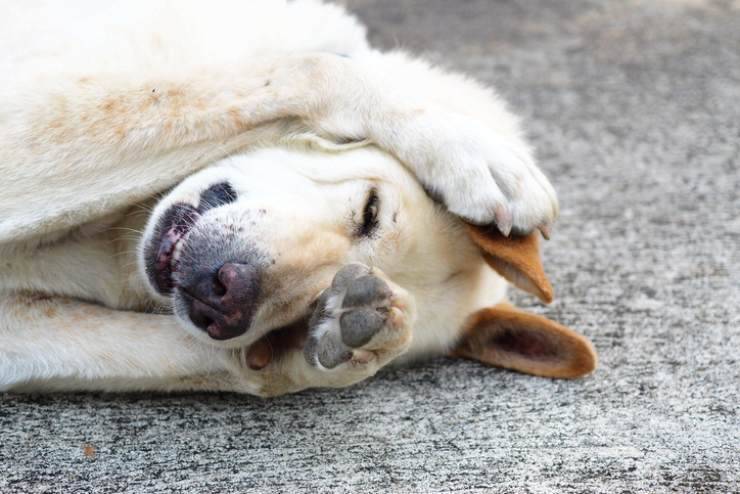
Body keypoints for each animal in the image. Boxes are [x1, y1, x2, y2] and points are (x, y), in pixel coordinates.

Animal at [0, 0, 592, 394]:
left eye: (314, 306)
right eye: (370, 212)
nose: (222, 297)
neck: (115, 241)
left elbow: (232, 365)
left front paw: (340, 348)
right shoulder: (22, 115)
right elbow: (317, 67)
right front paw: (466, 148)